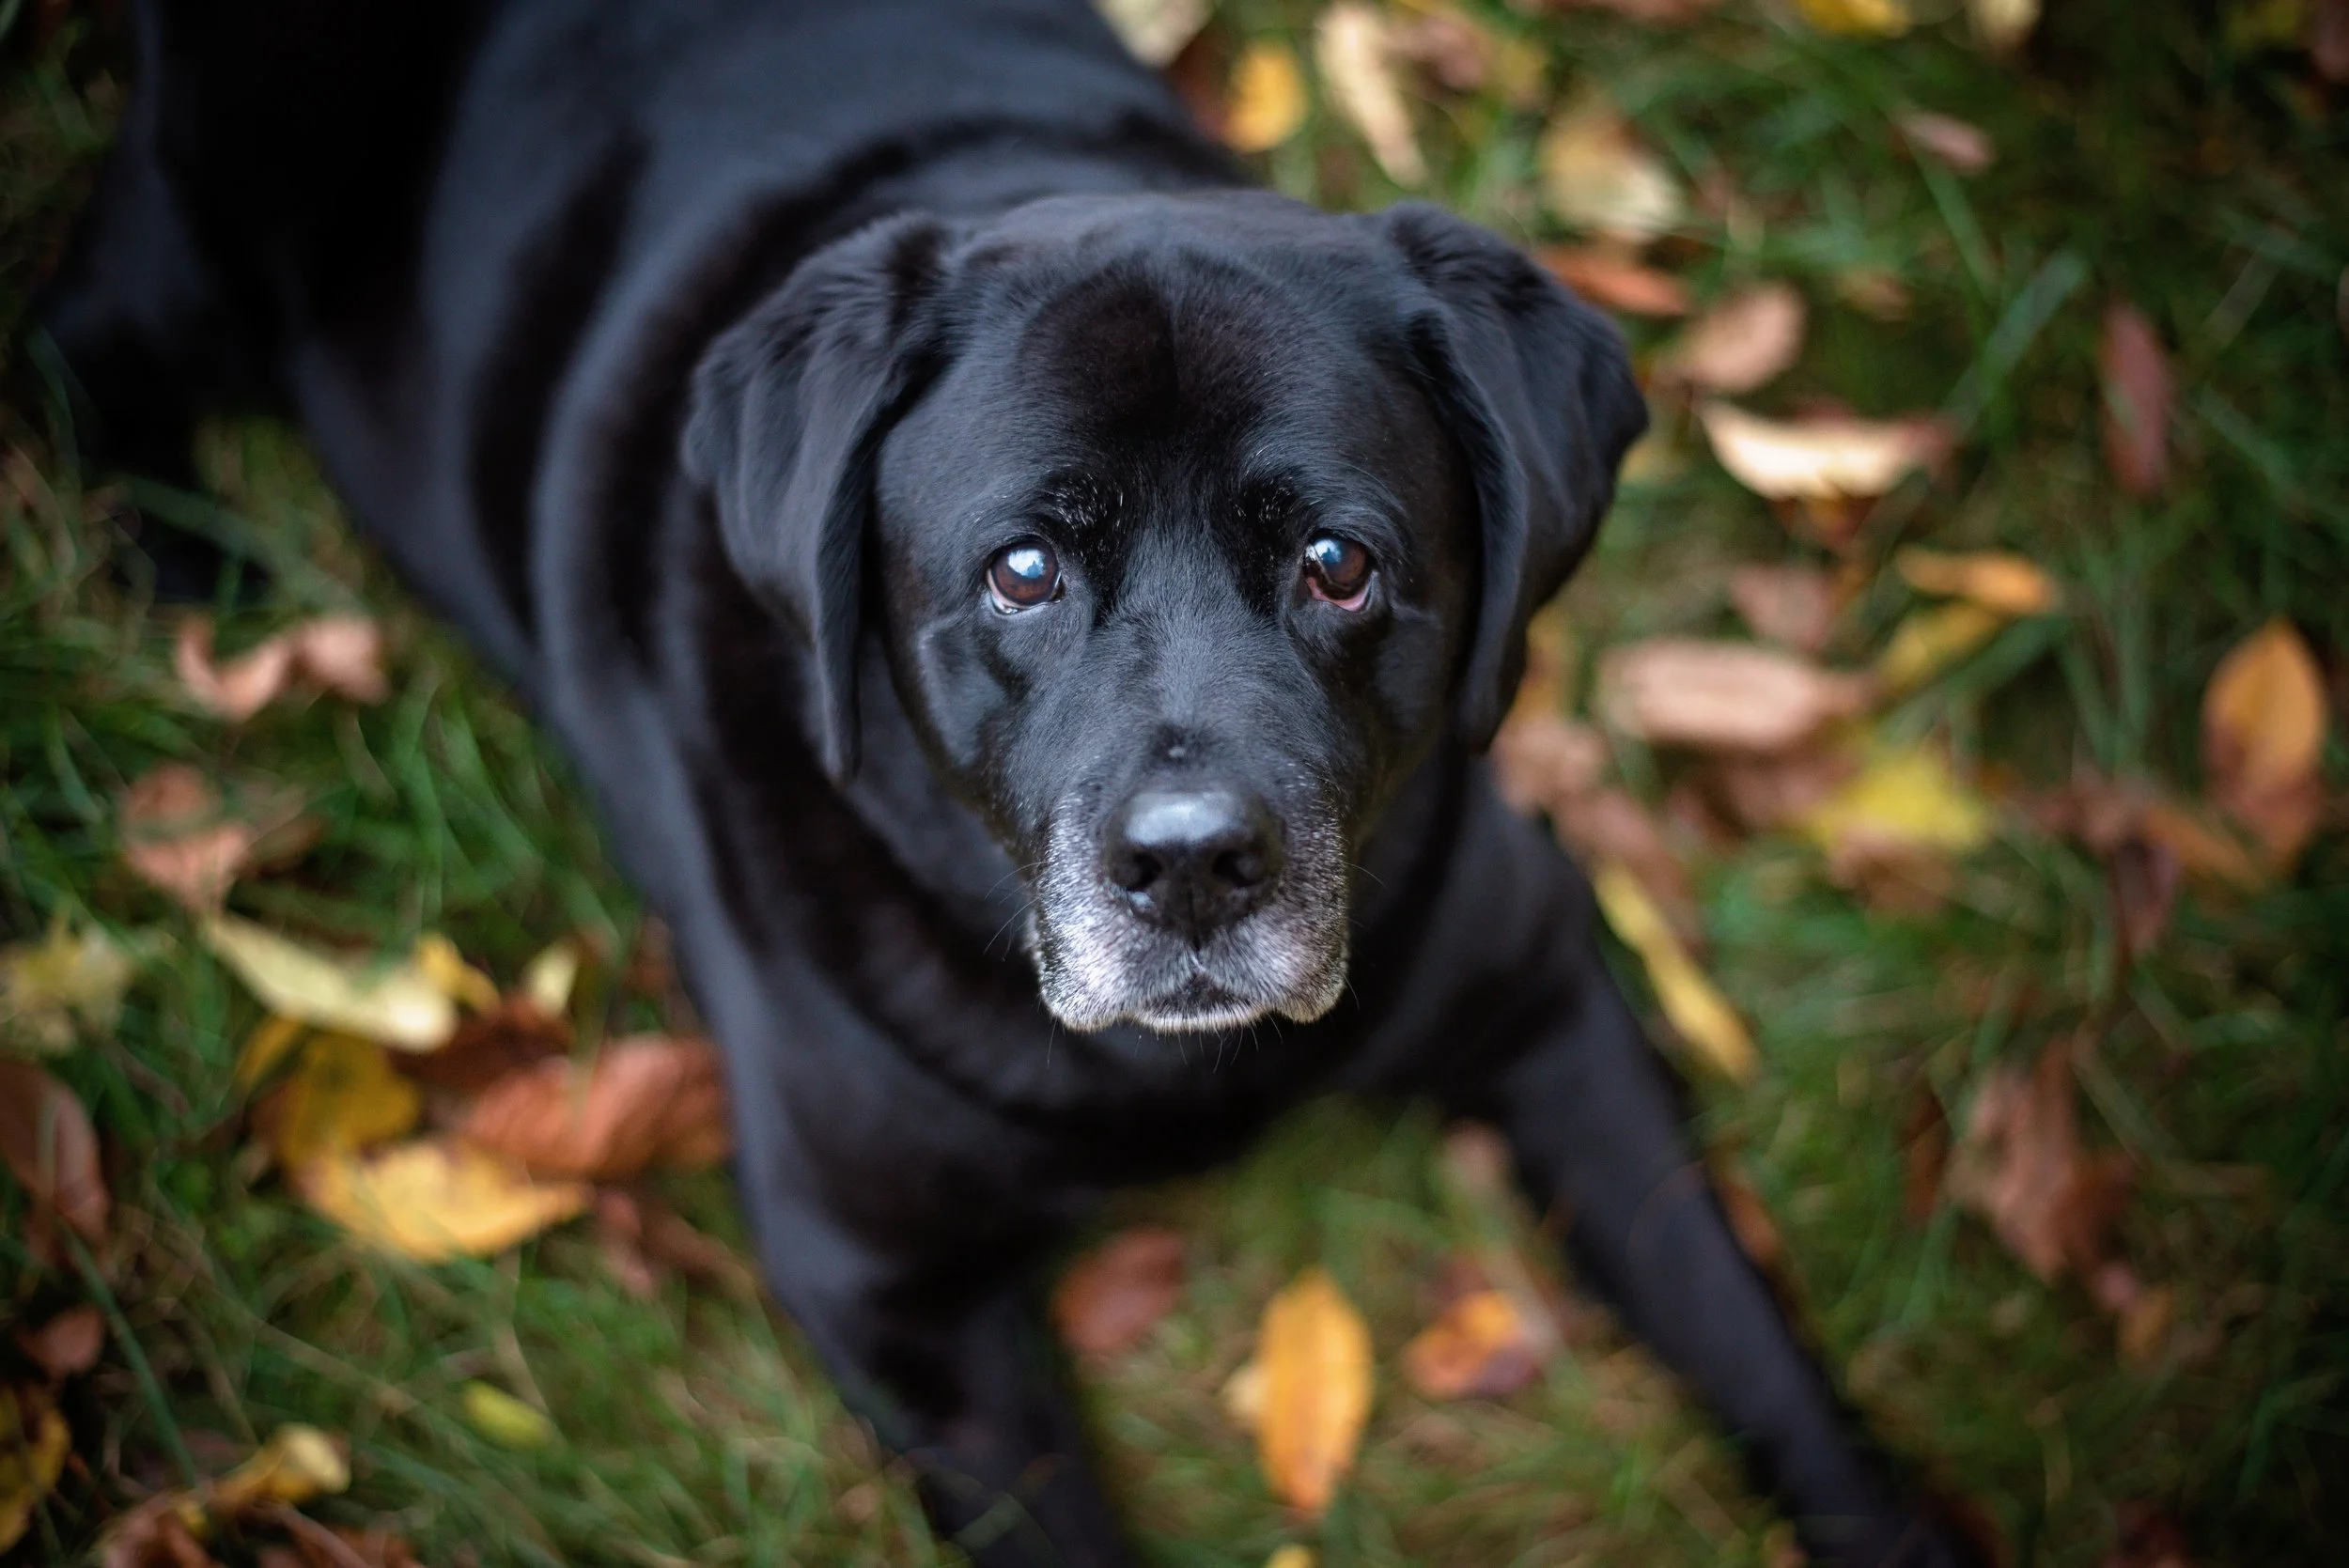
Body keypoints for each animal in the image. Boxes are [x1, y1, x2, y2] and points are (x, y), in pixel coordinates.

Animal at [43, 2, 1975, 1562]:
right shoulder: (884, 1278)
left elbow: (1740, 1319)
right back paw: (192, 576)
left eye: (1341, 563)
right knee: (87, 329)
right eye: (1024, 571)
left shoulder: (1545, 985)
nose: (1193, 869)